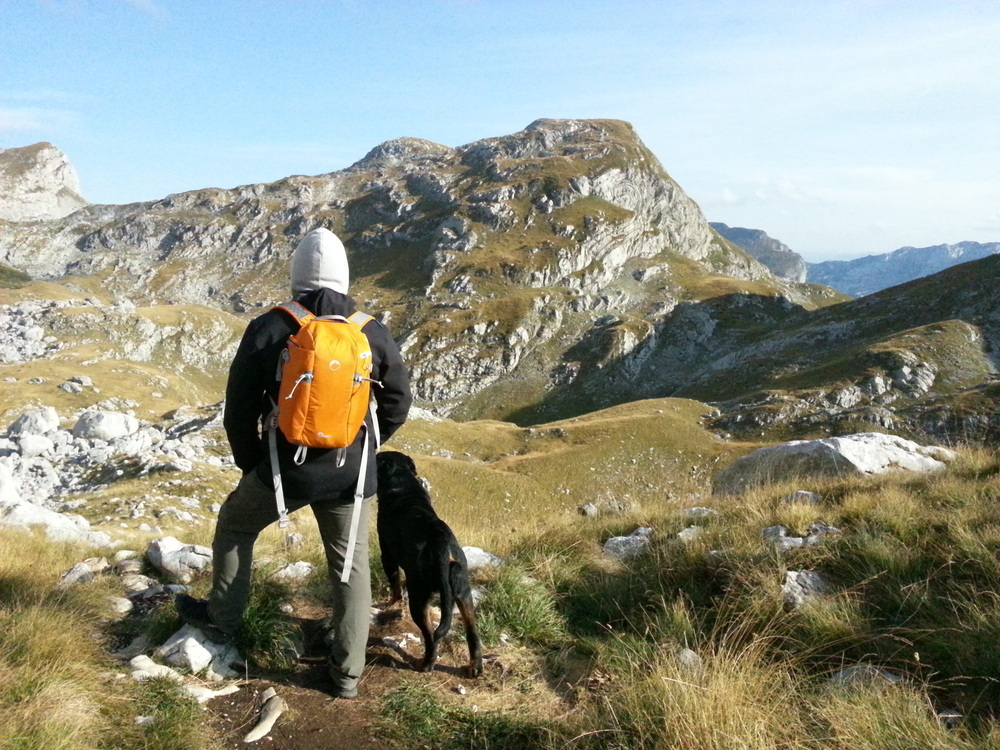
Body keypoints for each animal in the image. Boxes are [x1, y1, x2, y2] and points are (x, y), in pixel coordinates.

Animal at [376, 452, 484, 680]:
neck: (403, 484)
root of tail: (440, 541)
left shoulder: (387, 554)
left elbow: (395, 584)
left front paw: (391, 603)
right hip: (463, 591)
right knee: (472, 632)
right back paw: (475, 668)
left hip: (419, 595)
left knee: (431, 636)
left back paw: (425, 664)